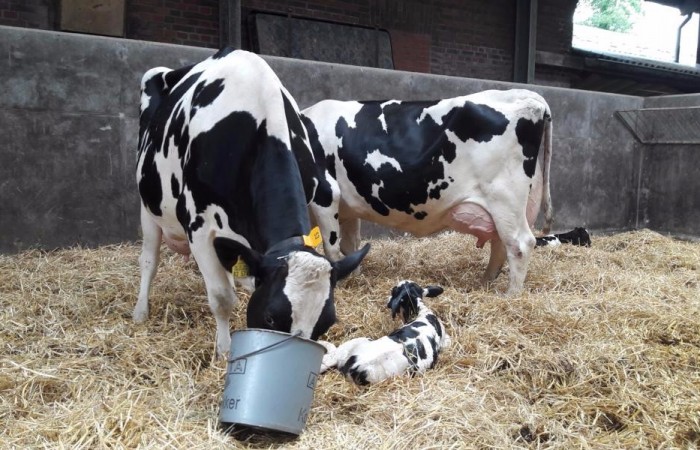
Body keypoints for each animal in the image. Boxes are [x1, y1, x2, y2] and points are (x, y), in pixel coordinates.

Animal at [134, 48, 369, 357]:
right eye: (269, 317)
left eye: (327, 322)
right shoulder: (199, 225)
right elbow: (221, 297)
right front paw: (224, 351)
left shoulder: (323, 193)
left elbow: (332, 248)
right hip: (149, 203)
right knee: (149, 260)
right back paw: (140, 311)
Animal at [301, 89, 553, 295]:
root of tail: (525, 94)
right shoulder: (348, 207)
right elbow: (351, 246)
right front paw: (354, 277)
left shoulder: (326, 195)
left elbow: (332, 249)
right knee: (500, 244)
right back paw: (485, 284)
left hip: (504, 197)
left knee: (519, 245)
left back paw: (510, 296)